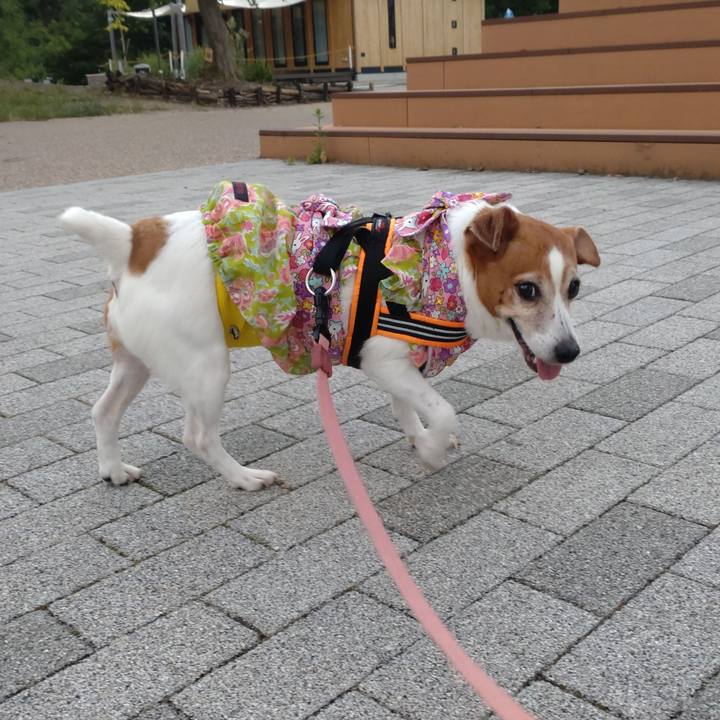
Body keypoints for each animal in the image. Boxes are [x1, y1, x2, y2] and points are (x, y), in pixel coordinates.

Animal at [59, 183, 600, 491]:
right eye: (527, 290)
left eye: (573, 287)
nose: (570, 352)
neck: (443, 260)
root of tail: (134, 240)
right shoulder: (384, 359)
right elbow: (443, 410)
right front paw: (430, 451)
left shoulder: (398, 364)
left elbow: (410, 407)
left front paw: (418, 437)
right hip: (207, 369)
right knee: (198, 436)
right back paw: (244, 478)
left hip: (136, 361)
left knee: (103, 411)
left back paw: (113, 470)